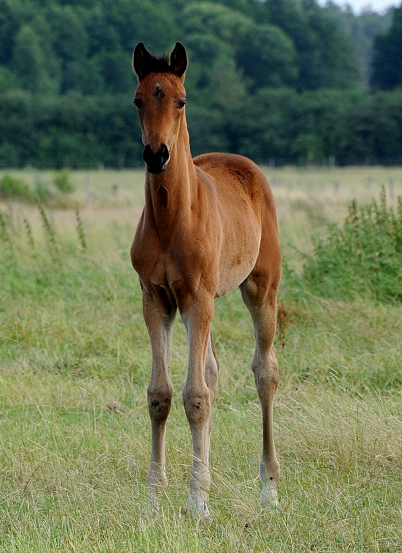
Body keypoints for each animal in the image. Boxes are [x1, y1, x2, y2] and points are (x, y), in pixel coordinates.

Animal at [130, 41, 282, 516]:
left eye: (181, 101)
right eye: (138, 100)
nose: (156, 155)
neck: (171, 221)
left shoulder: (196, 299)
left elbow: (194, 397)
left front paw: (197, 502)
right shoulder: (156, 299)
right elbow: (160, 394)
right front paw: (154, 497)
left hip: (261, 288)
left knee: (264, 371)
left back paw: (269, 487)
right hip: (210, 300)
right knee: (213, 374)